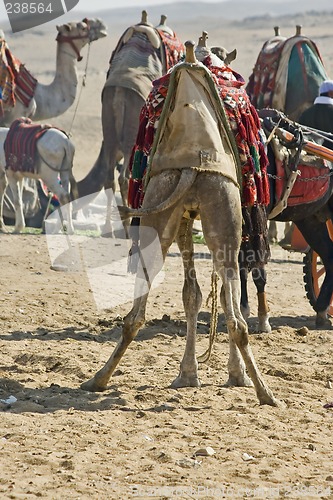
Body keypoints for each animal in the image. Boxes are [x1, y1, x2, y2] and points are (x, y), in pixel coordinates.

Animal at [81, 42, 278, 406]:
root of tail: (192, 164)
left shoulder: (185, 219)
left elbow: (194, 295)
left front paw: (192, 375)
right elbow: (208, 295)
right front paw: (223, 374)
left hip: (163, 209)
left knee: (137, 314)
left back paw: (99, 379)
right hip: (217, 209)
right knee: (235, 318)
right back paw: (264, 391)